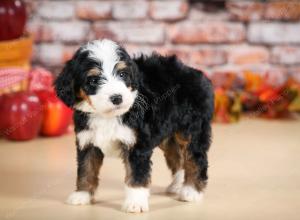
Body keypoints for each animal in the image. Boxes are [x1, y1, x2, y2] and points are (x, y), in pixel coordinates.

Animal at [54, 38, 213, 212]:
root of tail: (196, 73)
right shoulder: (87, 141)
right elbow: (86, 169)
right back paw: (177, 185)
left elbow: (136, 175)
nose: (117, 98)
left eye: (122, 74)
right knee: (176, 156)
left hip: (191, 129)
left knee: (195, 157)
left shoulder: (136, 144)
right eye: (94, 80)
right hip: (167, 134)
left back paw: (191, 191)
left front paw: (135, 203)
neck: (107, 116)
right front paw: (82, 195)